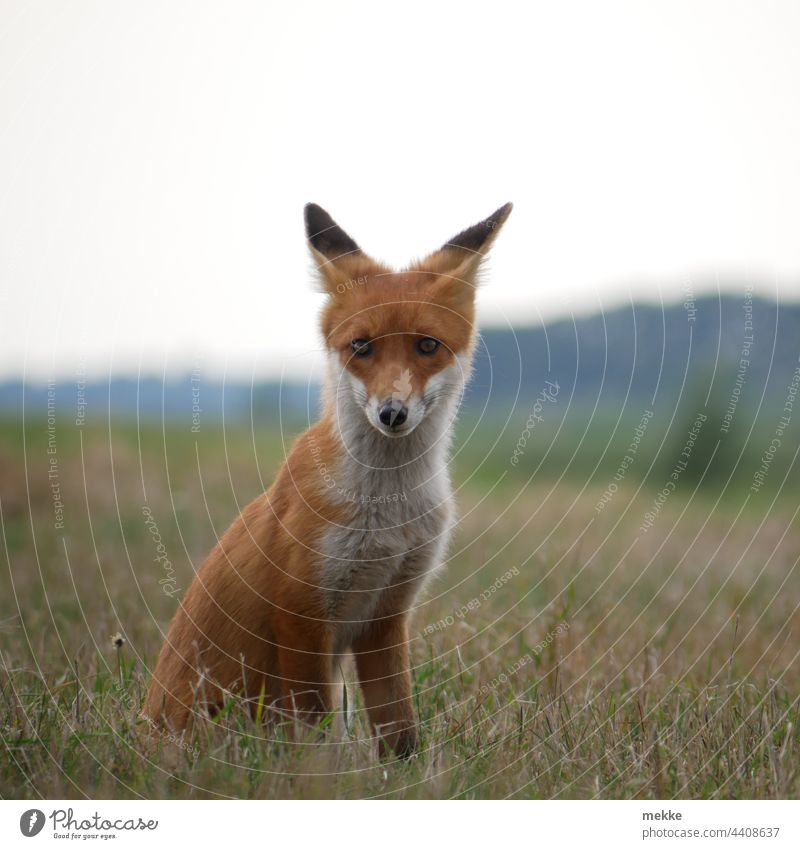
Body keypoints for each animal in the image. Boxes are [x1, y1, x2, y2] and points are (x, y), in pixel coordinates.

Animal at [143, 202, 512, 760]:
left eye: (427, 345)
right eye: (360, 346)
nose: (392, 413)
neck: (388, 509)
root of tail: (141, 731)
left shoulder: (387, 613)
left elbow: (400, 731)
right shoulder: (301, 611)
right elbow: (316, 727)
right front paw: (322, 773)